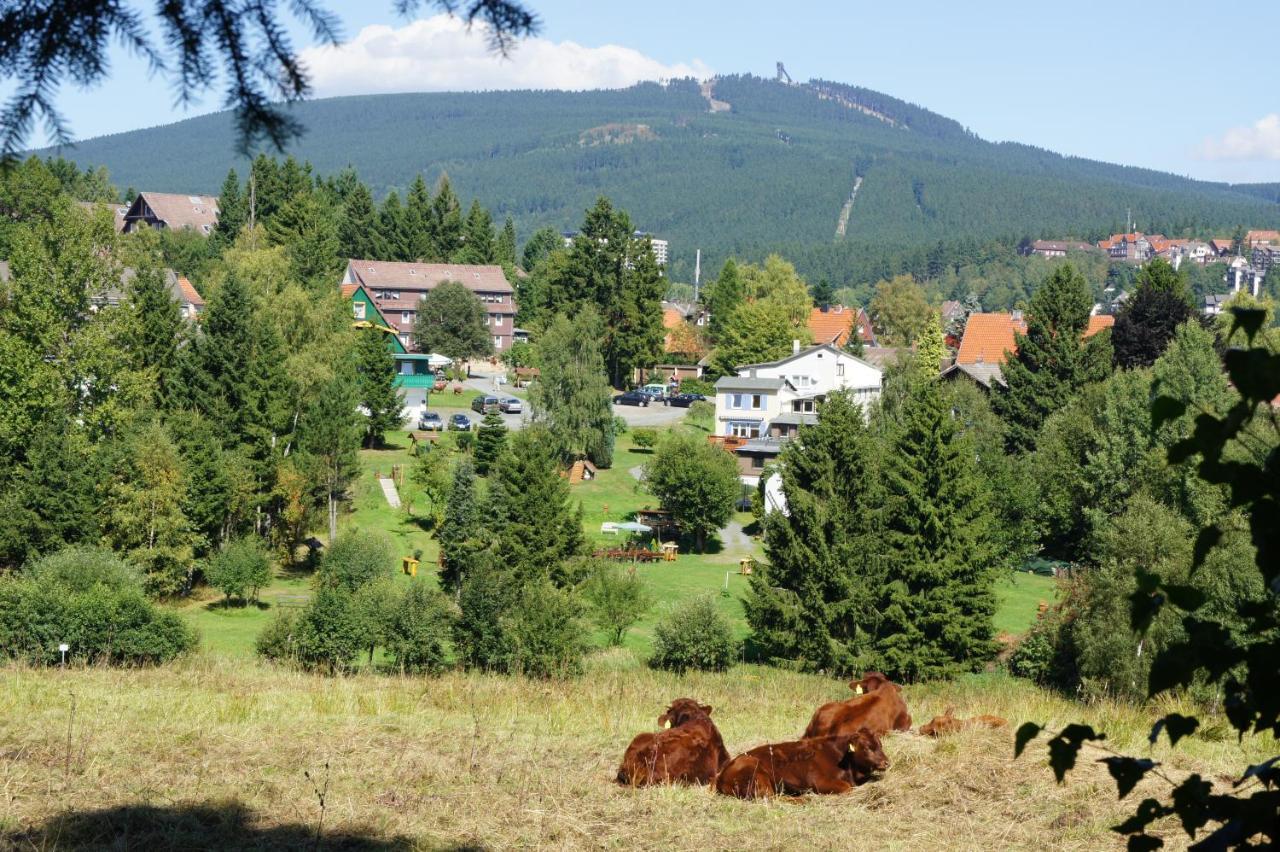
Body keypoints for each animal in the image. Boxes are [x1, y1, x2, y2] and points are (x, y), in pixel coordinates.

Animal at [716, 721, 885, 798]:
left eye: (880, 745)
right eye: (867, 747)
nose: (886, 762)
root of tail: (722, 775)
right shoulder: (819, 781)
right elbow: (847, 787)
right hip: (758, 778)